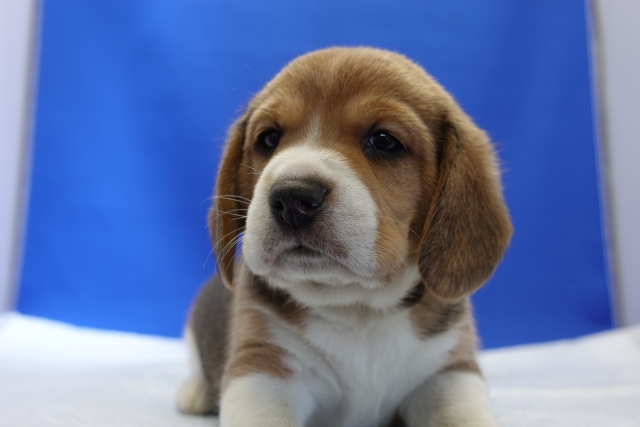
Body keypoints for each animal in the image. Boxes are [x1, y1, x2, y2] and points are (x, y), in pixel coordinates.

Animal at [177, 47, 512, 427]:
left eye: (384, 141)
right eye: (269, 139)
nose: (292, 198)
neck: (356, 308)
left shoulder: (448, 372)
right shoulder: (263, 368)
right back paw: (196, 391)